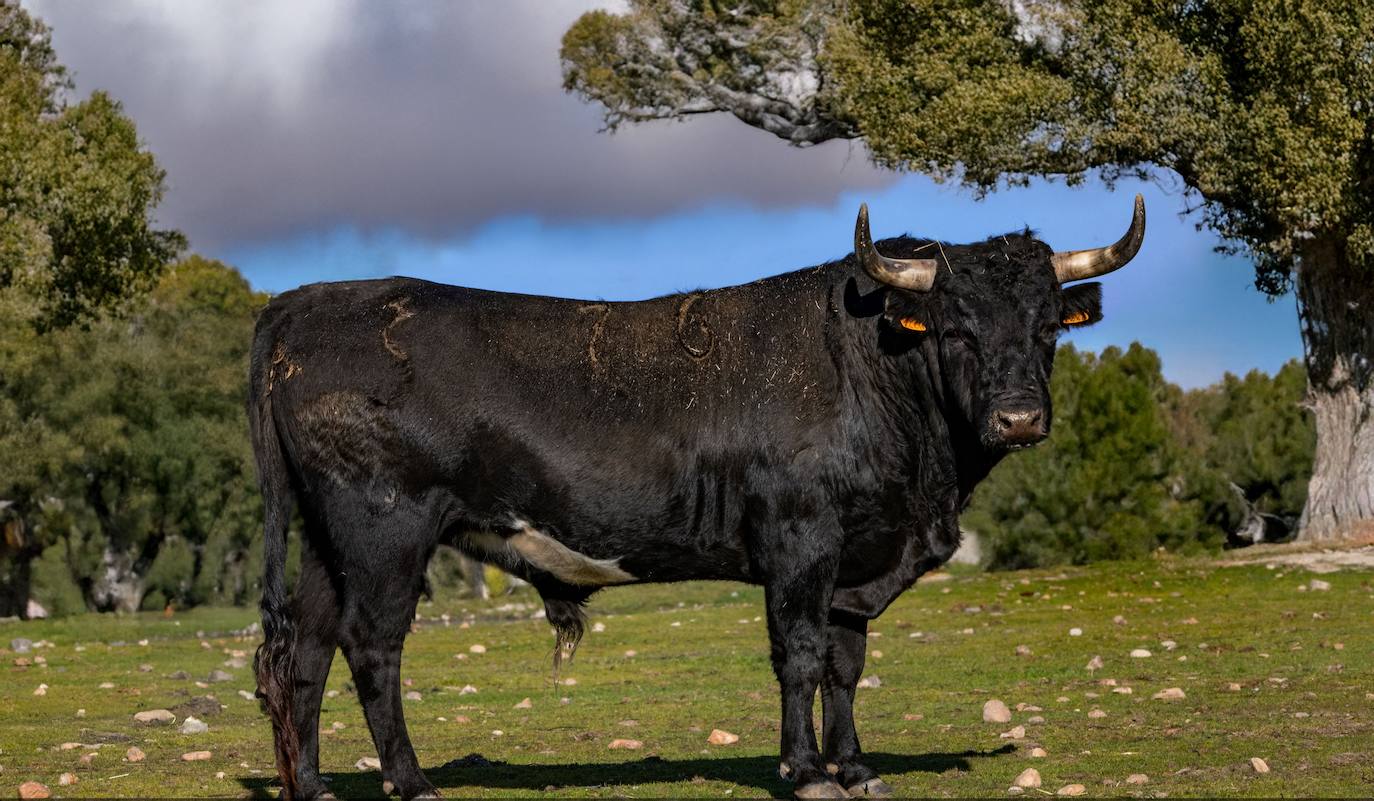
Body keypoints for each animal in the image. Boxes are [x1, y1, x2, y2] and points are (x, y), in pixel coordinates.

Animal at [250, 199, 1148, 796]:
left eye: (1048, 327)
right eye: (958, 326)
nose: (1019, 416)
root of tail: (303, 300)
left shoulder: (858, 556)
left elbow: (847, 662)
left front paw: (856, 765)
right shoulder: (801, 542)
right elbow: (801, 654)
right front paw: (807, 770)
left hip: (329, 542)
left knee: (305, 652)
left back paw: (315, 786)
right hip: (385, 530)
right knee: (372, 646)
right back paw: (410, 780)